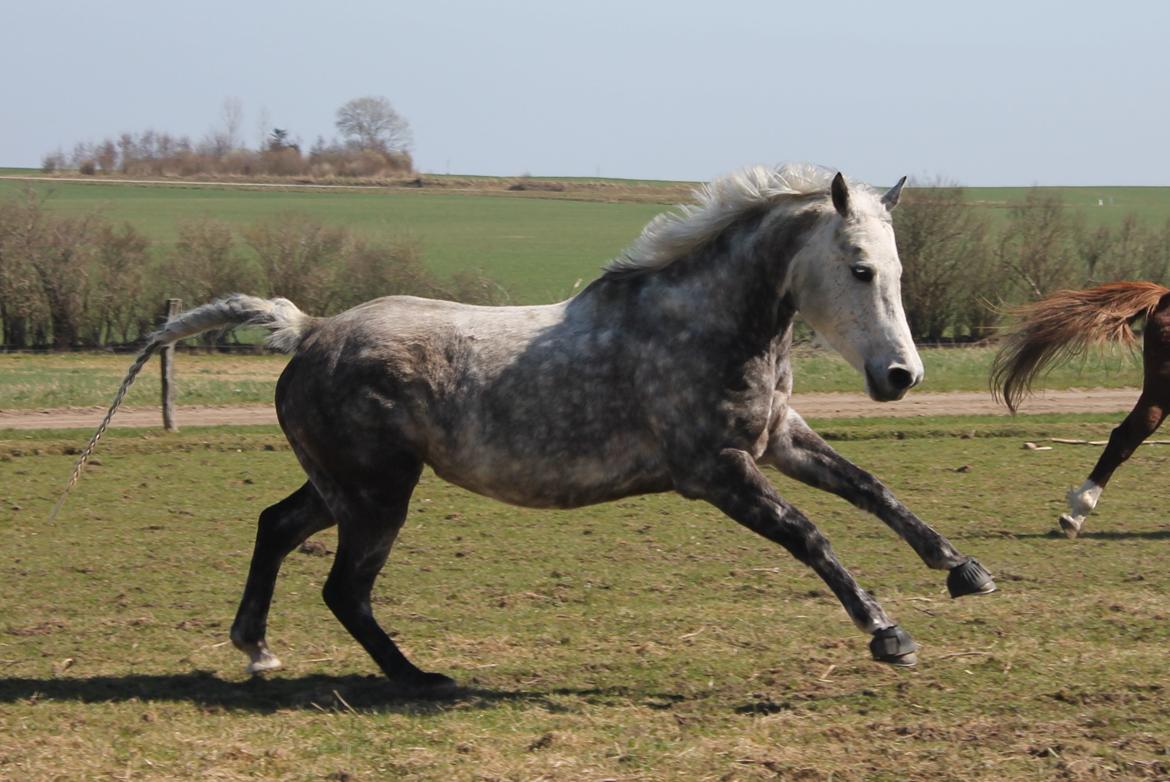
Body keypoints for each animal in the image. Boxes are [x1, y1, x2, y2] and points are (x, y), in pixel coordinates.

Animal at [61, 163, 996, 688]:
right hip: (376, 497)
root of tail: (310, 330)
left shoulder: (779, 439)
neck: (705, 323)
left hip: (343, 488)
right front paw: (889, 635)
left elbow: (872, 489)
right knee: (343, 589)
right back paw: (420, 678)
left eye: (898, 269)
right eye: (859, 267)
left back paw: (257, 651)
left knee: (276, 528)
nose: (901, 377)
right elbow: (812, 538)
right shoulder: (717, 470)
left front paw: (964, 570)